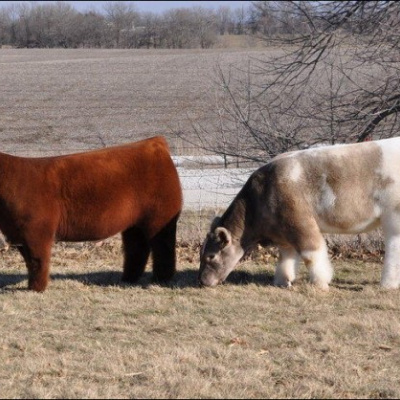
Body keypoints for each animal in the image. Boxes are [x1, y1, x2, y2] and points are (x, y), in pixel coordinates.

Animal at [0, 136, 183, 292]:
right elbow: (29, 261)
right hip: (134, 224)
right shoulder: (19, 234)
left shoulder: (37, 231)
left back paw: (161, 279)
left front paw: (37, 289)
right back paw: (128, 278)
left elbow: (37, 261)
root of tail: (155, 143)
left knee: (162, 247)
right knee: (137, 248)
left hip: (160, 218)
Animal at [200, 138, 400, 290]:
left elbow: (311, 253)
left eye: (211, 256)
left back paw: (387, 285)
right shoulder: (282, 232)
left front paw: (320, 283)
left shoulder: (299, 222)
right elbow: (286, 257)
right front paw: (282, 281)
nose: (201, 281)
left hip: (393, 215)